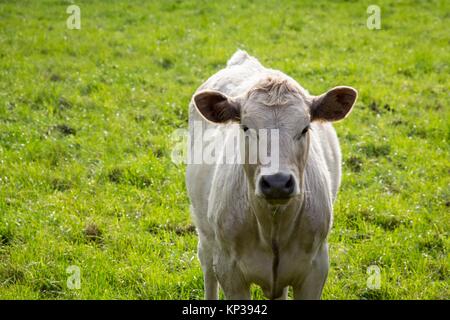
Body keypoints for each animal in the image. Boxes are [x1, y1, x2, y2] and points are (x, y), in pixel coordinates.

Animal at [185, 50, 356, 300]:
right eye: (246, 127)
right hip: (205, 234)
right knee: (207, 270)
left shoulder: (315, 269)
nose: (277, 182)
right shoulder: (229, 270)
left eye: (305, 128)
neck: (273, 228)